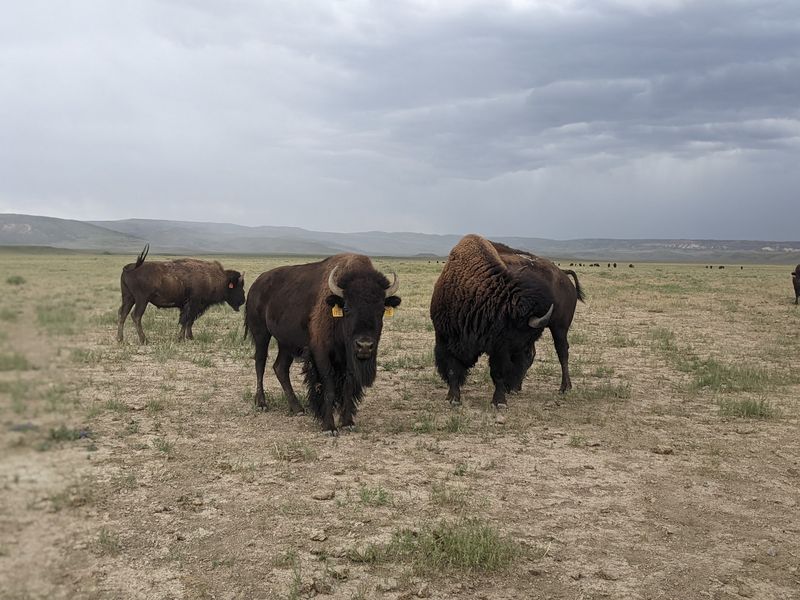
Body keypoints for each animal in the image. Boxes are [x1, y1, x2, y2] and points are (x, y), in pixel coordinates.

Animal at [245, 254, 400, 433]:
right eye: (347, 308)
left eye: (381, 310)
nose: (365, 345)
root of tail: (256, 284)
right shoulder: (321, 354)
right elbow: (329, 387)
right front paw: (329, 427)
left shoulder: (348, 359)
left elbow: (348, 387)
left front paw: (347, 423)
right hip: (261, 334)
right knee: (260, 363)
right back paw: (262, 404)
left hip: (286, 344)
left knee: (280, 368)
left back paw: (298, 409)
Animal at [430, 235, 584, 408]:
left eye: (517, 339)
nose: (510, 385)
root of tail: (563, 276)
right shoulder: (445, 337)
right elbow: (453, 368)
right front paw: (453, 397)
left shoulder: (499, 347)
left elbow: (497, 372)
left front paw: (499, 402)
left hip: (559, 327)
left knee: (562, 352)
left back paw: (564, 387)